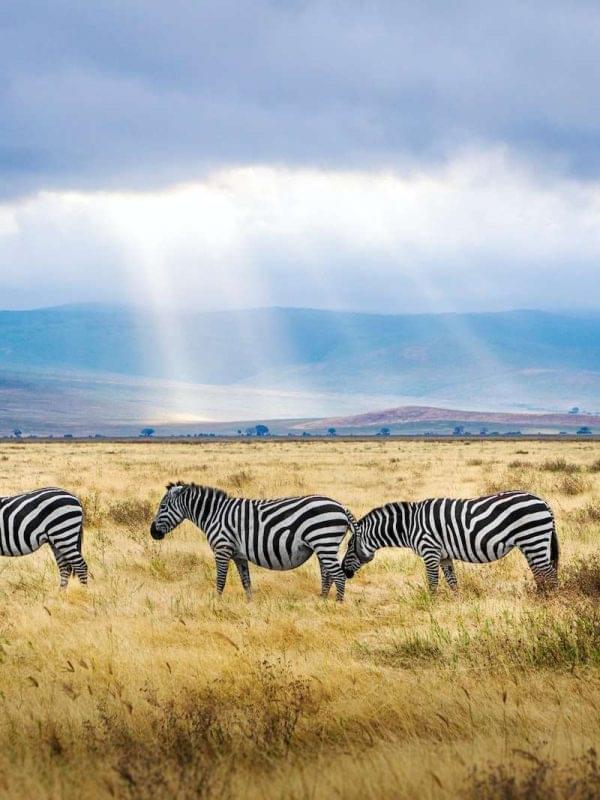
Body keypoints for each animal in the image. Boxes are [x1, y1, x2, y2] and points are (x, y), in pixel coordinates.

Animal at [150, 482, 359, 600]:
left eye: (162, 506)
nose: (152, 533)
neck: (214, 514)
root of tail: (341, 506)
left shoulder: (222, 549)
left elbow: (221, 580)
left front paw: (216, 603)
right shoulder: (238, 555)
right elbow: (246, 581)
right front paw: (249, 605)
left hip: (323, 541)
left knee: (338, 576)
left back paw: (337, 605)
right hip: (323, 546)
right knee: (327, 575)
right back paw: (322, 601)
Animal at [342, 491, 559, 592]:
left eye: (349, 546)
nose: (344, 571)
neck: (409, 525)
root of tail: (543, 501)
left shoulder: (430, 550)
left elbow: (432, 582)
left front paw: (431, 605)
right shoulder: (444, 555)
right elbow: (452, 581)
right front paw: (457, 603)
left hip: (533, 538)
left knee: (548, 573)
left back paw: (549, 601)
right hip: (533, 543)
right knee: (541, 573)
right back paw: (540, 597)